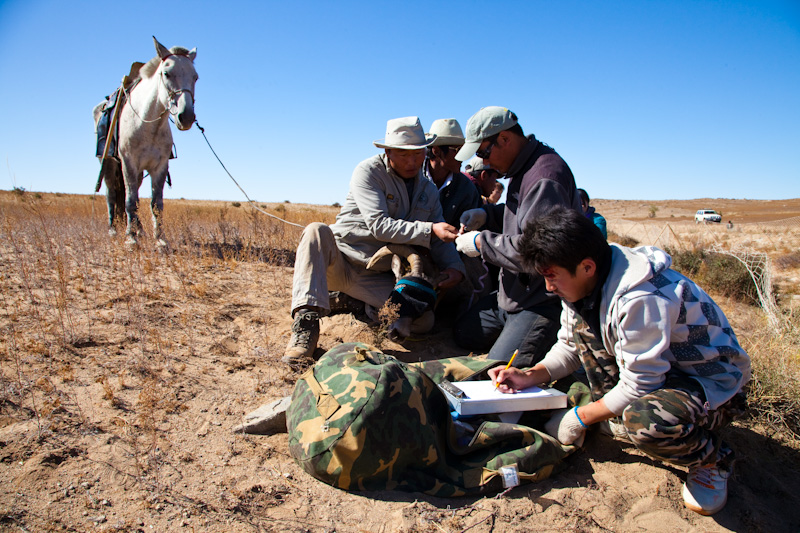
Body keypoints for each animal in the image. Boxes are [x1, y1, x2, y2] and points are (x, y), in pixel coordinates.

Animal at [94, 36, 198, 246]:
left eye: (195, 77)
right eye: (166, 73)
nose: (187, 117)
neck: (148, 124)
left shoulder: (159, 166)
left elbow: (156, 204)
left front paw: (160, 240)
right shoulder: (129, 163)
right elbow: (129, 201)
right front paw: (131, 239)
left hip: (139, 172)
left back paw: (139, 230)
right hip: (108, 163)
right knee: (112, 195)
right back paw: (114, 230)